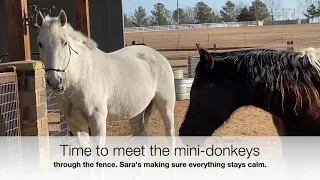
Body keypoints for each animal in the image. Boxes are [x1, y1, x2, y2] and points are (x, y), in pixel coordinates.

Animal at [36, 9, 176, 145]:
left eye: (65, 42)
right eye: (40, 43)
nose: (55, 81)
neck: (80, 77)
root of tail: (159, 56)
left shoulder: (98, 121)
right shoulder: (76, 125)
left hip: (166, 106)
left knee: (170, 136)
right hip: (135, 113)